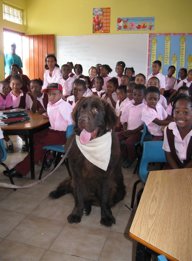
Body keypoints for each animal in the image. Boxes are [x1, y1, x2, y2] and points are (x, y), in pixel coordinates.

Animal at [49, 96, 126, 225]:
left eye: (95, 110)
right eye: (81, 109)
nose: (81, 119)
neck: (91, 146)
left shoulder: (106, 178)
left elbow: (105, 199)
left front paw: (106, 217)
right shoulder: (76, 175)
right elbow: (79, 197)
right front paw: (76, 214)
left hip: (119, 189)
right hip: (72, 180)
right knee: (67, 186)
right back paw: (56, 193)